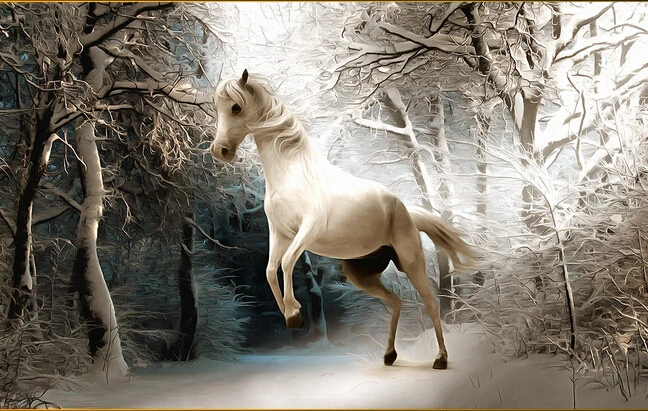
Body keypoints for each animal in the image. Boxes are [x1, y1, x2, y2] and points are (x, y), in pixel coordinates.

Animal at [210, 69, 475, 369]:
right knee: (396, 301)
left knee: (431, 303)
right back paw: (389, 355)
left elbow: (287, 262)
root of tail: (406, 210)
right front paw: (291, 315)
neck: (292, 173)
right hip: (361, 274)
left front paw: (294, 312)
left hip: (411, 262)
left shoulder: (307, 230)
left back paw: (440, 359)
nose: (219, 151)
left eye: (236, 107)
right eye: (216, 108)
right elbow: (269, 270)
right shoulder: (279, 233)